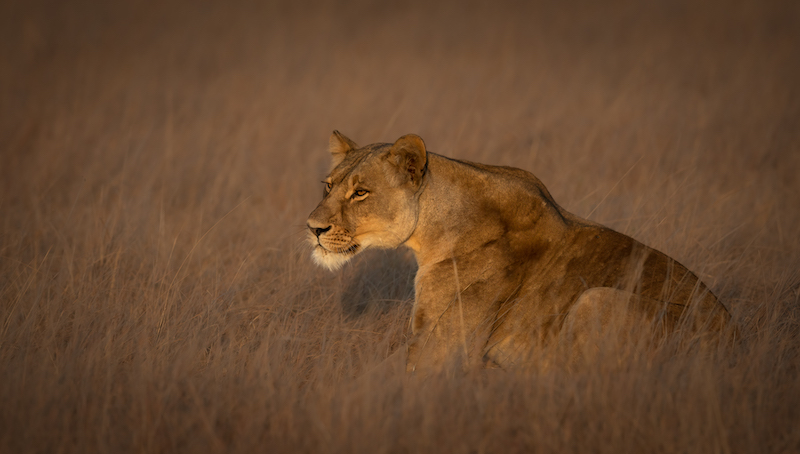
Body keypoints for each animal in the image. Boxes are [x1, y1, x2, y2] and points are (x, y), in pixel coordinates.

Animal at [307, 131, 734, 373]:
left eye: (361, 192)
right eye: (328, 186)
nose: (313, 228)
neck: (433, 228)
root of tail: (737, 348)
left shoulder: (439, 349)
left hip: (595, 299)